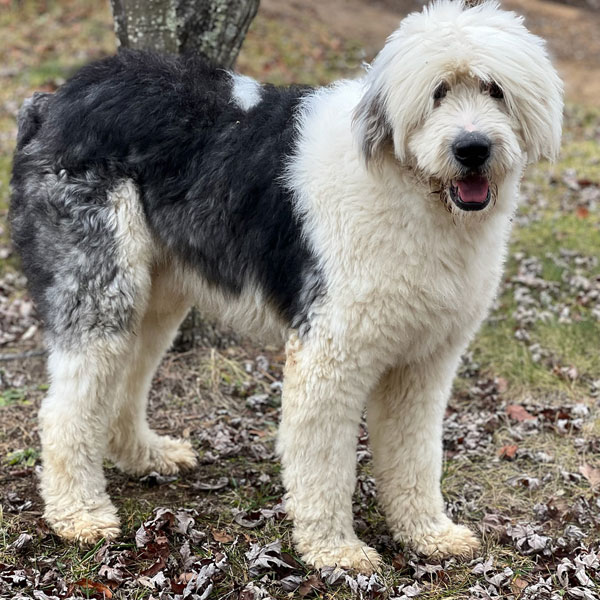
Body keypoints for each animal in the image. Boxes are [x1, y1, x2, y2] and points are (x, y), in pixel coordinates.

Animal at [10, 0, 564, 572]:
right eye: (438, 92)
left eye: (495, 89)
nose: (472, 148)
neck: (410, 189)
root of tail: (54, 99)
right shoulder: (331, 353)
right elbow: (323, 460)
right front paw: (336, 550)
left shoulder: (423, 362)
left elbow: (416, 454)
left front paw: (427, 533)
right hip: (99, 286)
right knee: (65, 408)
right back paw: (79, 514)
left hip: (156, 296)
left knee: (125, 377)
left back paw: (144, 455)